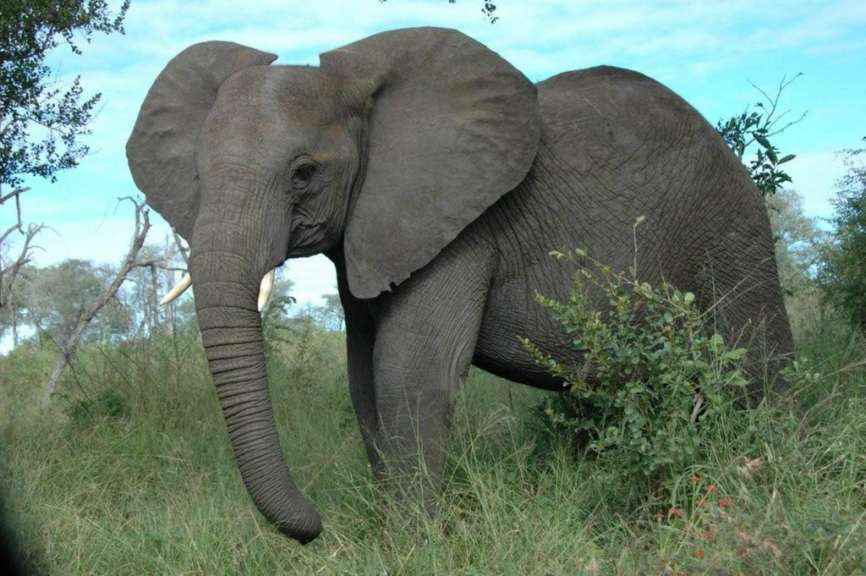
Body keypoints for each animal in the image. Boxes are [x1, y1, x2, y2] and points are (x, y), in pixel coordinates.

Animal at [126, 27, 793, 544]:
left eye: (304, 174)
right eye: (197, 174)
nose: (317, 527)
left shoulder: (463, 228)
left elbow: (409, 373)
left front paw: (415, 546)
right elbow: (363, 379)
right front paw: (393, 536)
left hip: (730, 225)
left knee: (756, 361)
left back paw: (771, 469)